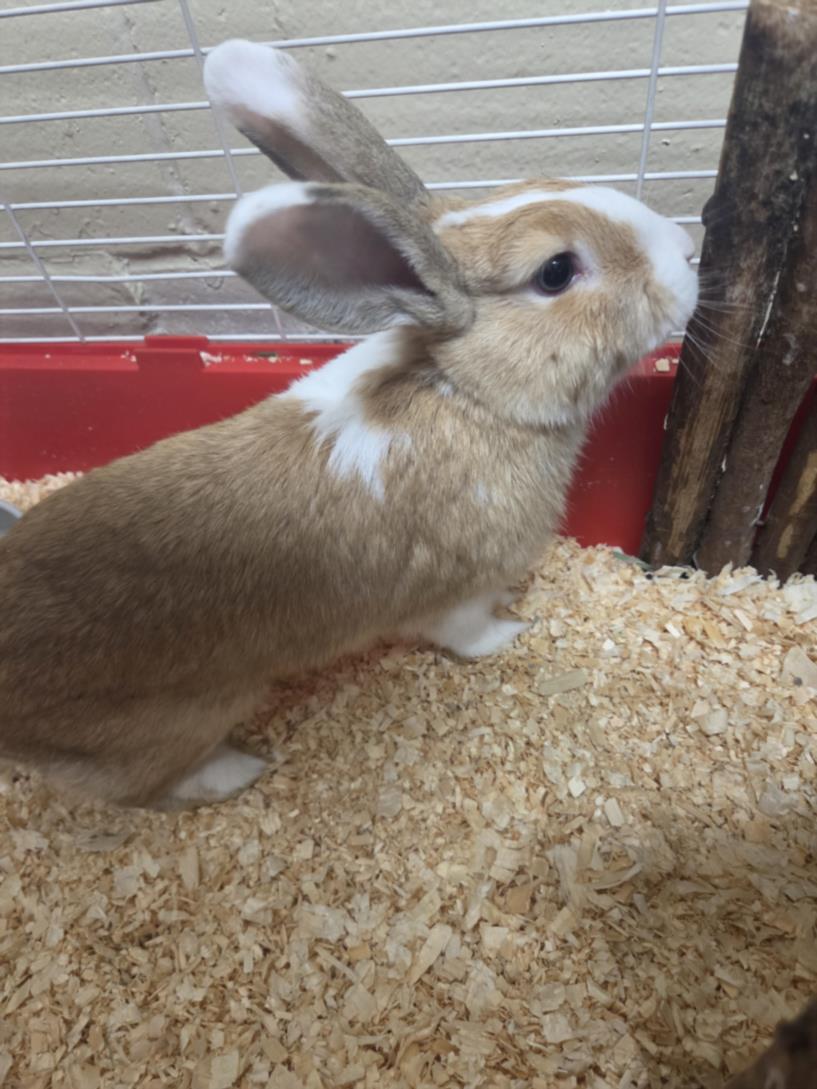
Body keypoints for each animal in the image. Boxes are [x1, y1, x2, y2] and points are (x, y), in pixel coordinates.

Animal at [0, 40, 698, 809]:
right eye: (554, 272)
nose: (684, 247)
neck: (466, 391)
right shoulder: (453, 593)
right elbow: (465, 633)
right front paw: (512, 632)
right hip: (174, 725)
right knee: (149, 788)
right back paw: (239, 769)